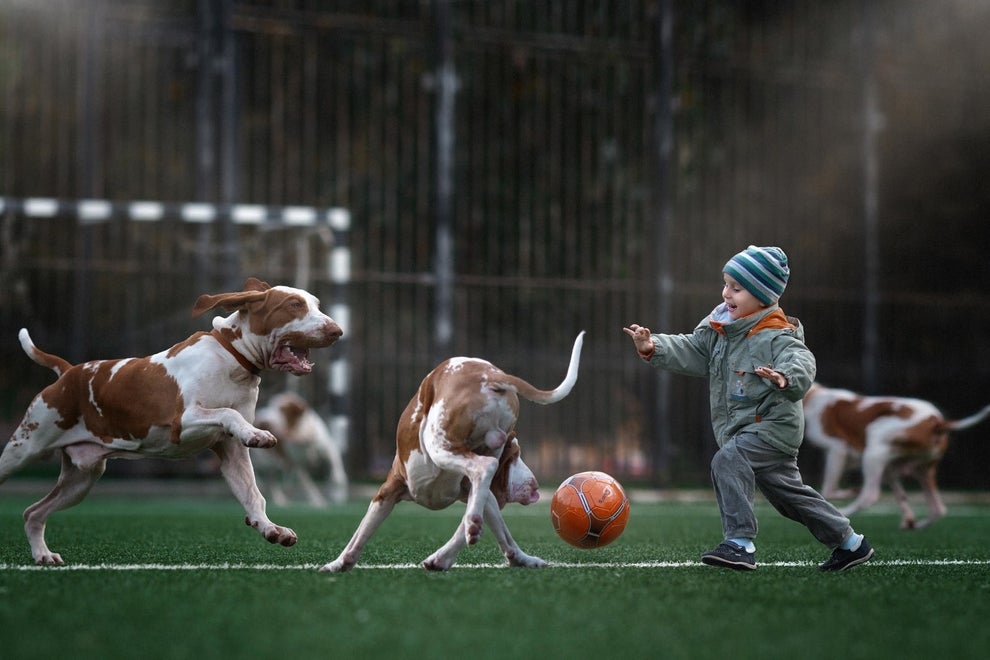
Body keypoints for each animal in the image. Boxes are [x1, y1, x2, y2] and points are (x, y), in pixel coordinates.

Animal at [0, 276, 340, 564]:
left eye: (316, 304)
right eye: (294, 305)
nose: (337, 331)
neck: (231, 359)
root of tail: (69, 372)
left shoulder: (232, 454)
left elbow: (254, 495)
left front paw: (269, 528)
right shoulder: (182, 423)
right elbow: (226, 413)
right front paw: (258, 434)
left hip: (81, 478)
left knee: (33, 513)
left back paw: (43, 554)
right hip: (23, 449)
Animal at [322, 332, 584, 568]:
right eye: (516, 455)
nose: (535, 486)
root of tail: (490, 375)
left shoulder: (386, 491)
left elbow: (359, 534)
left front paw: (339, 563)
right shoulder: (481, 494)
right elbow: (504, 534)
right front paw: (522, 559)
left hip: (439, 445)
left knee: (484, 468)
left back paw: (455, 543)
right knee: (480, 490)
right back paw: (461, 539)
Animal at [808, 384, 990, 528]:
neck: (812, 396)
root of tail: (936, 422)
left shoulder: (837, 449)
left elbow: (828, 490)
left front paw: (847, 494)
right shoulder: (888, 469)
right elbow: (901, 495)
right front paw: (908, 518)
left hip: (874, 449)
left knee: (869, 496)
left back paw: (844, 511)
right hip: (919, 471)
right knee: (937, 509)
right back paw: (915, 524)